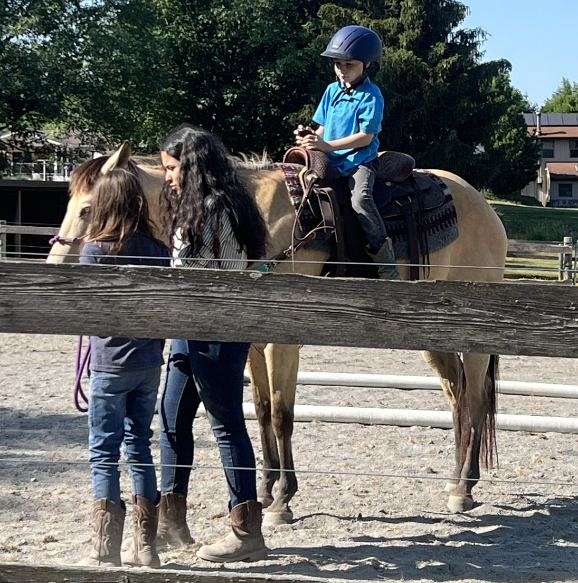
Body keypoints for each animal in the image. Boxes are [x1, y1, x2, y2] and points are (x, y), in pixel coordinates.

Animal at [48, 140, 504, 524]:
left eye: (88, 209)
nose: (55, 268)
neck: (251, 218)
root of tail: (485, 208)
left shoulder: (283, 342)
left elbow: (284, 414)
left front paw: (283, 500)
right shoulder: (252, 341)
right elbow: (263, 410)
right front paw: (266, 491)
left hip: (474, 339)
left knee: (475, 400)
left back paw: (463, 490)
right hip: (435, 338)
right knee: (458, 399)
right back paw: (457, 481)